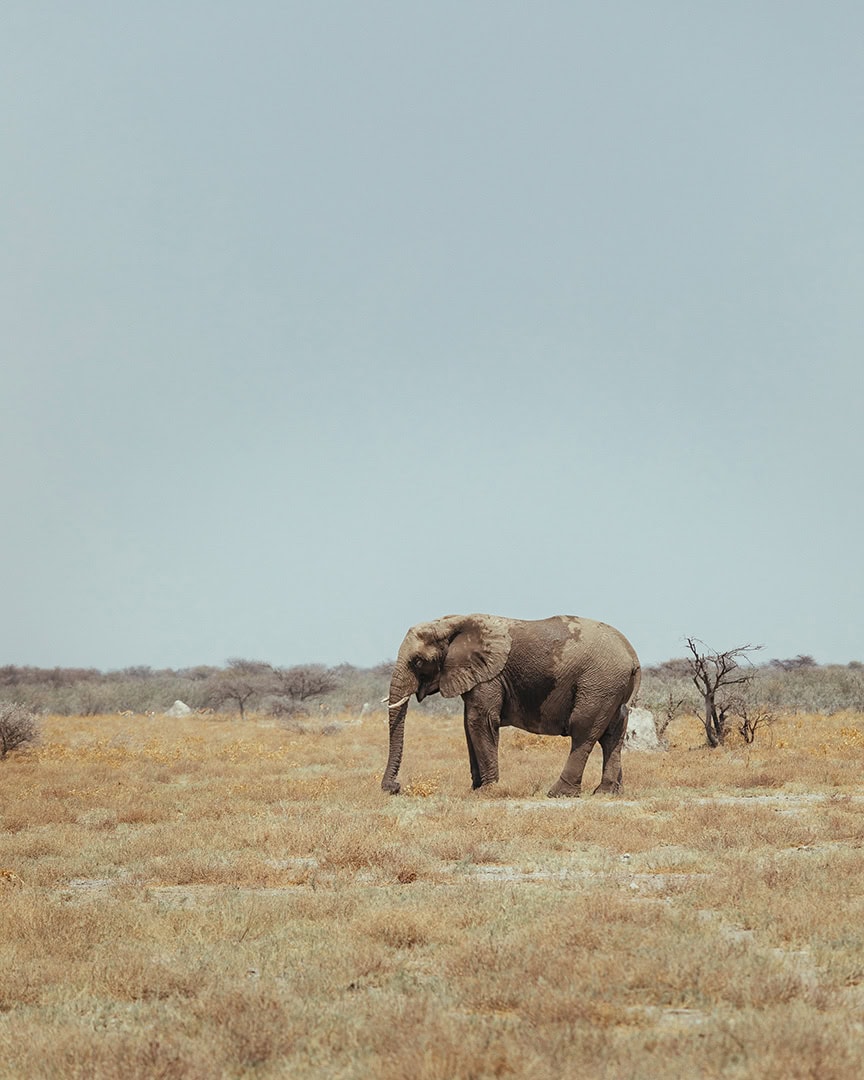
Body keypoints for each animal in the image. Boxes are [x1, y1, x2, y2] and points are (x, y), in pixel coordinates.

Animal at [381, 614, 641, 798]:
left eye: (418, 662)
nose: (394, 787)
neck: (452, 623)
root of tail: (632, 656)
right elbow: (468, 725)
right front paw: (476, 789)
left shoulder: (490, 675)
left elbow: (480, 721)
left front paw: (487, 792)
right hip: (611, 689)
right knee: (613, 735)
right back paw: (607, 793)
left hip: (599, 683)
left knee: (583, 731)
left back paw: (558, 793)